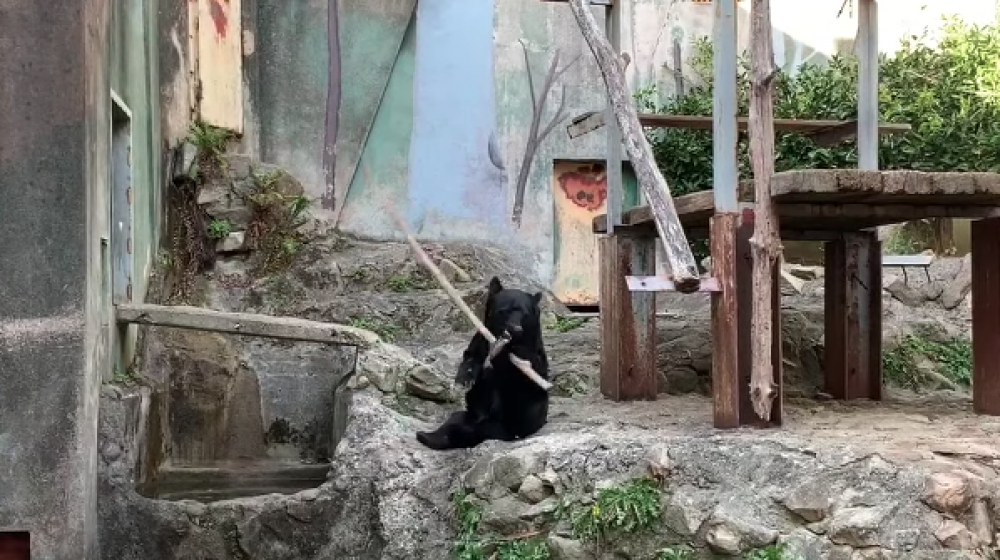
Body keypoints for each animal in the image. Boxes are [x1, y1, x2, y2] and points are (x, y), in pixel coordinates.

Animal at [416, 276, 550, 450]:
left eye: (525, 314)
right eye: (504, 310)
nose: (516, 329)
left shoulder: (532, 351)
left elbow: (533, 371)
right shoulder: (483, 336)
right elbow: (473, 356)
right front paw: (464, 380)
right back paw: (429, 436)